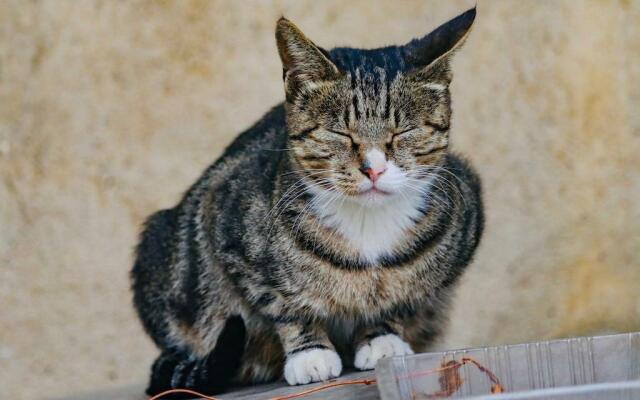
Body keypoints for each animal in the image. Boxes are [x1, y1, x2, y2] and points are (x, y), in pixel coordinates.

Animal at [132, 7, 484, 396]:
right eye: (338, 132)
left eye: (404, 131)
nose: (374, 169)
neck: (368, 224)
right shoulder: (226, 227)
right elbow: (282, 302)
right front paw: (311, 353)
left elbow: (404, 298)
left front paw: (383, 338)